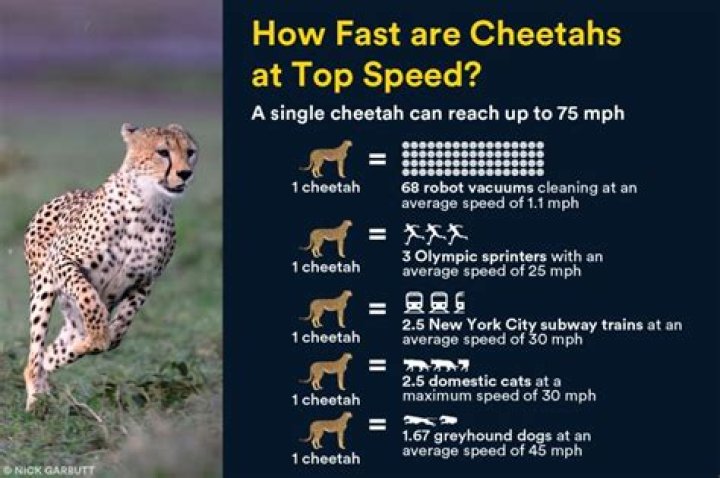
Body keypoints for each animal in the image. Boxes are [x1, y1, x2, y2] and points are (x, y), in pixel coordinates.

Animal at [22, 122, 198, 412]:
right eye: (162, 152)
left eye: (190, 152)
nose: (185, 173)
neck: (147, 204)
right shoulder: (64, 261)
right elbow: (89, 298)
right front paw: (98, 334)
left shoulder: (145, 282)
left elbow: (120, 329)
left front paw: (101, 337)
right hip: (43, 290)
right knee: (34, 356)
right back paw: (36, 399)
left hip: (72, 320)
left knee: (54, 351)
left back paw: (57, 362)